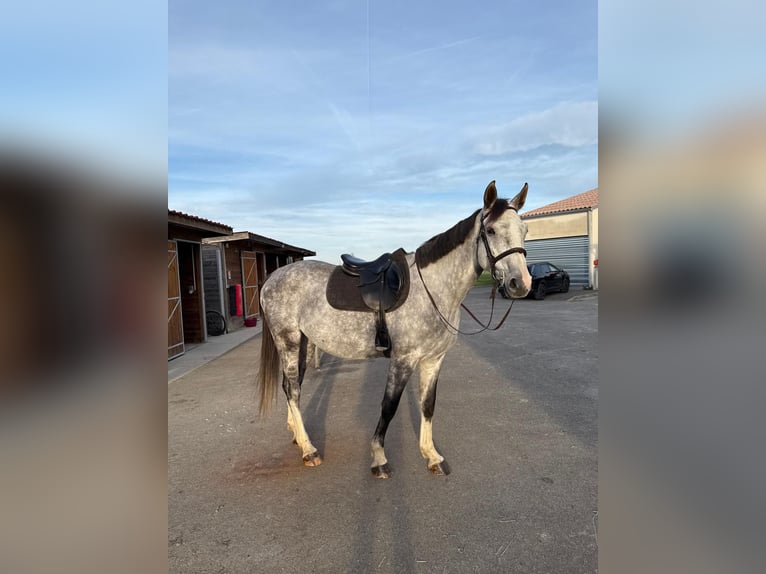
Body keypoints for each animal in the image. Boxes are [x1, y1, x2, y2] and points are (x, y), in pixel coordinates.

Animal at [257, 180, 532, 478]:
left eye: (525, 230)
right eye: (490, 230)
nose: (521, 283)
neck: (432, 289)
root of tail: (271, 278)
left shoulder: (434, 360)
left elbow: (428, 405)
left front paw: (431, 456)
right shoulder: (403, 359)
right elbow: (389, 406)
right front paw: (379, 458)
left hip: (304, 343)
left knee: (291, 386)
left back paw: (298, 436)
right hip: (288, 342)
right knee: (293, 389)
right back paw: (309, 450)